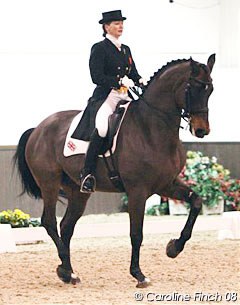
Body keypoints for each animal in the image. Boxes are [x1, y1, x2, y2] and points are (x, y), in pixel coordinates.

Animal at [13, 55, 216, 288]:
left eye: (210, 89)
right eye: (193, 88)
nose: (201, 130)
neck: (151, 127)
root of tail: (38, 129)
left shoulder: (166, 184)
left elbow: (196, 202)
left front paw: (173, 248)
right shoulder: (137, 191)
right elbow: (136, 233)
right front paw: (139, 274)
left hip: (77, 190)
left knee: (66, 226)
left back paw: (67, 271)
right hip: (49, 183)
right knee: (49, 221)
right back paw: (66, 268)